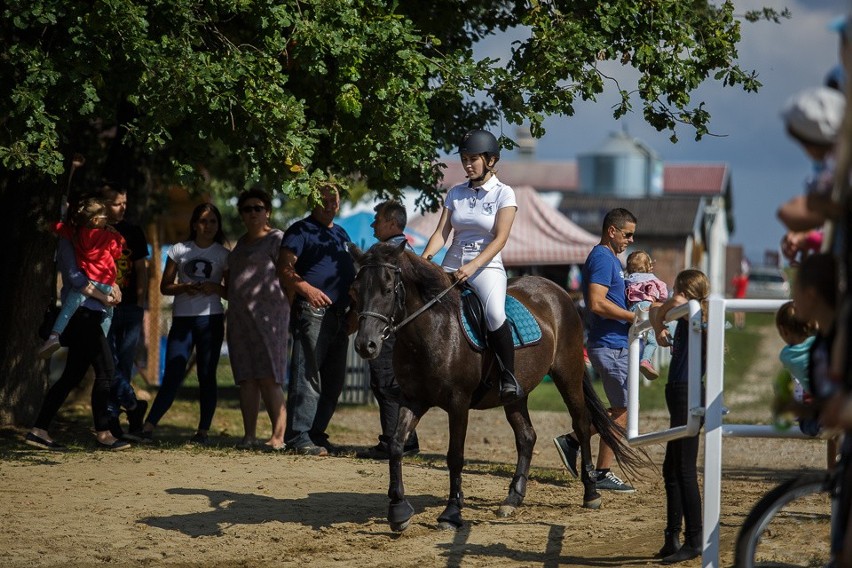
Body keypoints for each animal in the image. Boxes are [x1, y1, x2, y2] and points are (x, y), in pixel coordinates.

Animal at [350, 243, 644, 532]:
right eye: (356, 290)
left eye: (388, 290)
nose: (366, 345)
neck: (432, 330)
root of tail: (559, 292)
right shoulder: (412, 399)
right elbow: (396, 445)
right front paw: (398, 511)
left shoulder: (458, 403)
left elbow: (455, 456)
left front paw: (451, 513)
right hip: (516, 394)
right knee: (527, 436)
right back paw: (512, 498)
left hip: (567, 374)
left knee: (581, 423)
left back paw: (591, 493)